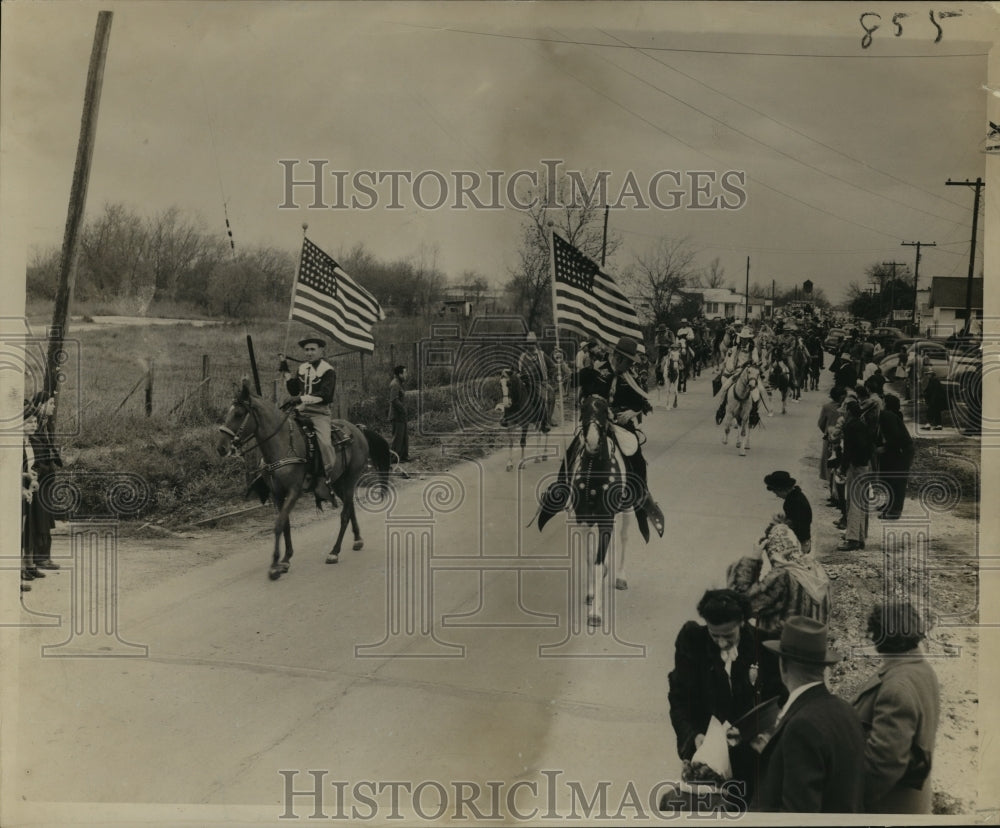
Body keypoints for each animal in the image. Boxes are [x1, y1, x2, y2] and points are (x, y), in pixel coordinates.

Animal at [219, 378, 390, 580]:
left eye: (238, 414)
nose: (221, 448)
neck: (283, 443)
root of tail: (358, 430)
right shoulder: (277, 494)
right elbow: (285, 524)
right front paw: (285, 559)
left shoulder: (294, 491)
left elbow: (279, 524)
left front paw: (275, 566)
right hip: (338, 482)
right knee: (350, 508)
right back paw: (357, 539)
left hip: (350, 479)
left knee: (344, 514)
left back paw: (334, 552)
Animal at [536, 396, 652, 628]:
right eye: (583, 411)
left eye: (604, 412)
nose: (591, 442)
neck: (595, 473)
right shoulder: (583, 520)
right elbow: (590, 557)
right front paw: (590, 593)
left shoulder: (606, 521)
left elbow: (598, 562)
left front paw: (596, 613)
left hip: (627, 509)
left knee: (624, 537)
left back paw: (621, 577)